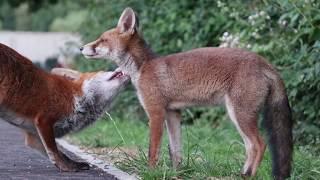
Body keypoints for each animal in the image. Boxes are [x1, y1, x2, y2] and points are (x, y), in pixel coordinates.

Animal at [1, 43, 129, 172]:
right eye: (103, 71)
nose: (124, 65)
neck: (75, 98)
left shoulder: (33, 135)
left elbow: (61, 154)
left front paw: (73, 164)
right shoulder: (44, 121)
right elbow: (54, 152)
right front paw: (65, 167)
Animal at [82, 7, 292, 179]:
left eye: (102, 40)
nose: (81, 47)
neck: (143, 67)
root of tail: (265, 63)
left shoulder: (156, 113)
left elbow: (153, 151)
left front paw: (151, 173)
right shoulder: (173, 113)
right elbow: (176, 151)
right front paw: (177, 173)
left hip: (240, 115)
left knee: (259, 144)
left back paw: (250, 175)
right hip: (239, 116)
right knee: (250, 147)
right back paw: (243, 174)